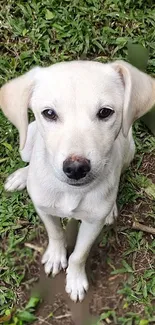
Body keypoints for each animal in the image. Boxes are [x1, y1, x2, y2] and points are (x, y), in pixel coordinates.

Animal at [0, 60, 155, 302]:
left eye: (105, 112)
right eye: (49, 113)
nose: (75, 168)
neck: (69, 192)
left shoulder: (92, 224)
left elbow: (79, 255)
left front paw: (75, 280)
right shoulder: (43, 208)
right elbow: (55, 233)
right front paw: (55, 257)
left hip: (129, 149)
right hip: (26, 142)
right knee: (28, 159)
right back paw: (20, 177)